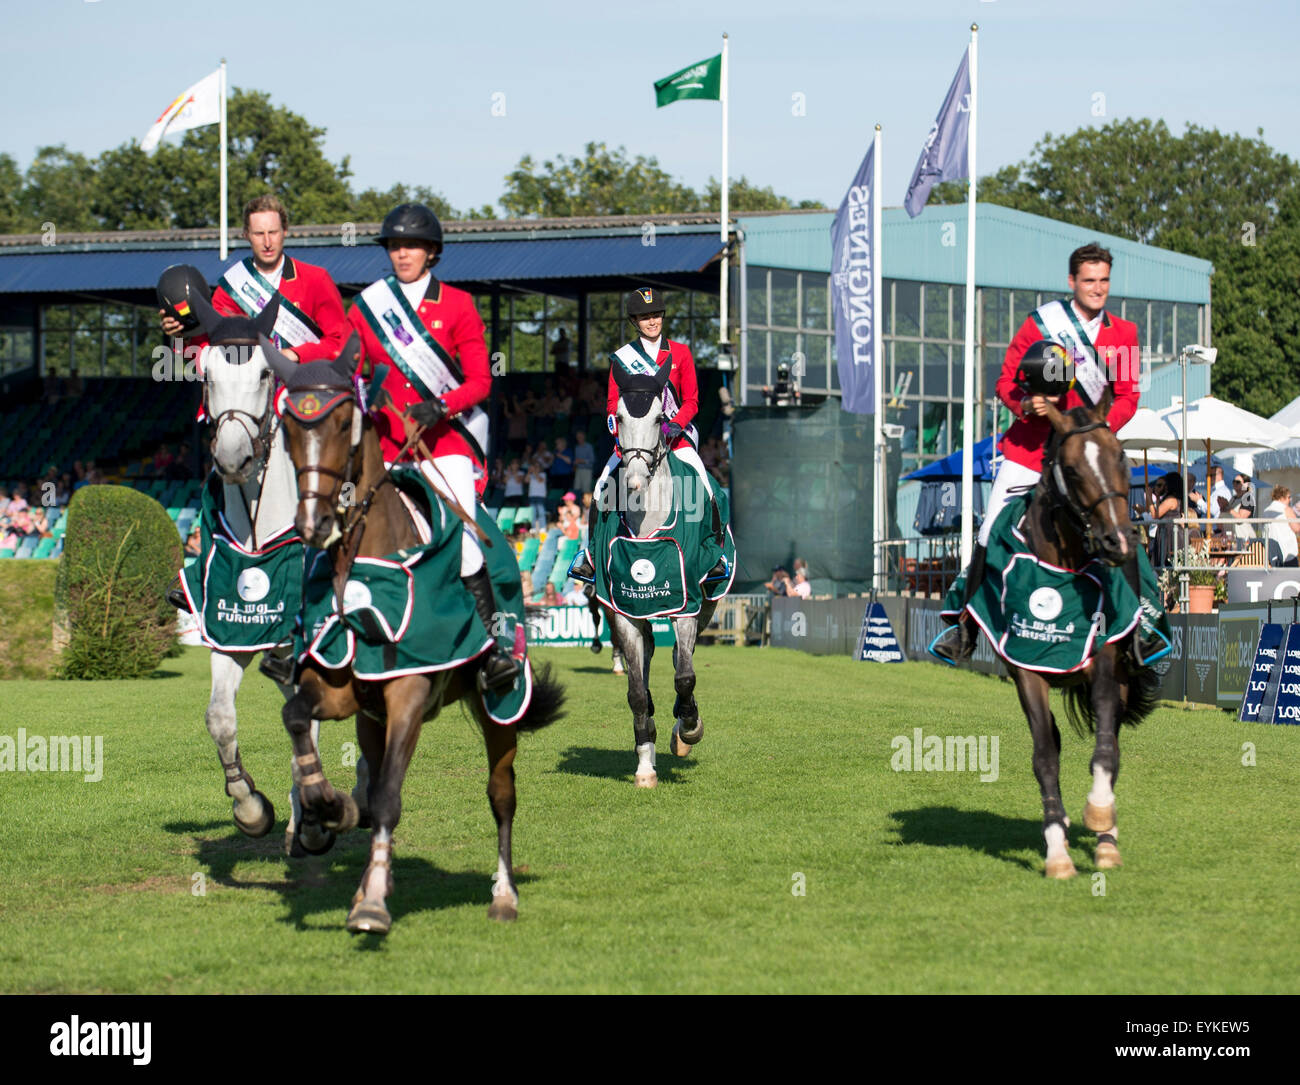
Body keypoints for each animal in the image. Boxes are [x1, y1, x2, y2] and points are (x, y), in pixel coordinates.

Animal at [263, 340, 564, 935]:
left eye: (342, 422)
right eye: (288, 428)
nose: (313, 524)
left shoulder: (409, 692)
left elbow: (387, 799)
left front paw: (374, 907)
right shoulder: (340, 686)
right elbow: (297, 718)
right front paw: (323, 807)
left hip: (500, 710)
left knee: (501, 795)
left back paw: (503, 895)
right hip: (370, 718)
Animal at [998, 389, 1154, 883]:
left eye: (1122, 457)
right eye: (1069, 469)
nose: (1117, 542)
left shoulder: (1105, 659)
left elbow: (1106, 749)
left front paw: (1102, 817)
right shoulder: (1027, 671)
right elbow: (1045, 756)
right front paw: (1057, 852)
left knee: (1113, 742)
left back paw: (1106, 840)